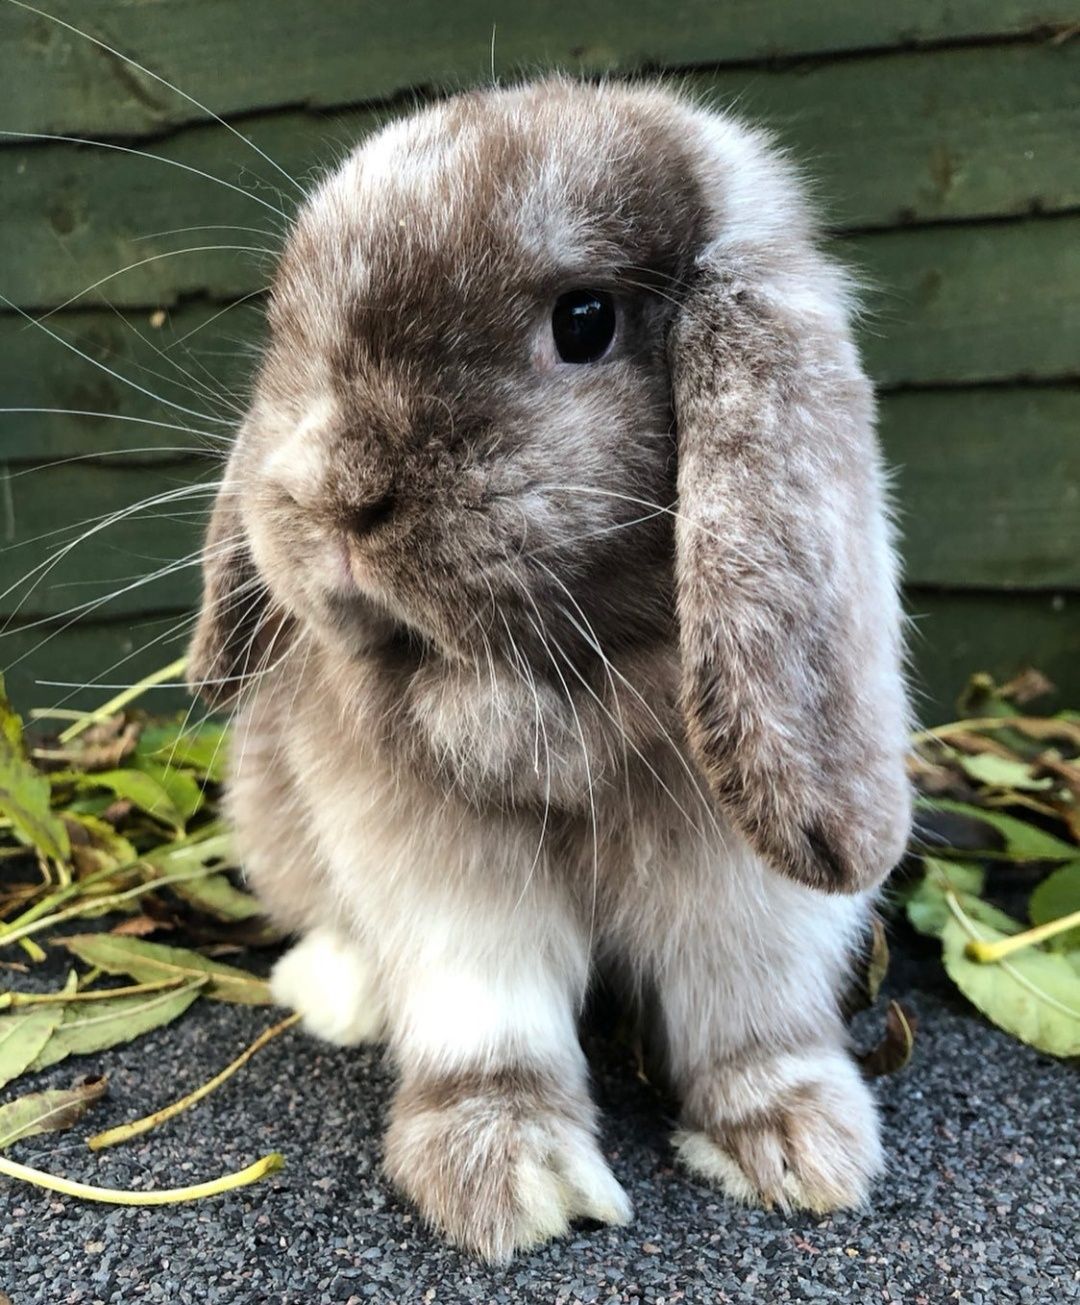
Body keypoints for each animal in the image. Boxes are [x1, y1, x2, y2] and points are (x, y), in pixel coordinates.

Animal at [187, 76, 913, 1258]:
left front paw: (797, 1146)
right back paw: (334, 988)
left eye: (585, 321)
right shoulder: (438, 862)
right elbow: (488, 1010)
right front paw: (508, 1173)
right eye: (288, 327)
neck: (538, 673)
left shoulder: (743, 887)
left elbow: (748, 1010)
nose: (337, 499)